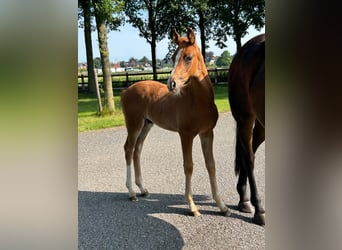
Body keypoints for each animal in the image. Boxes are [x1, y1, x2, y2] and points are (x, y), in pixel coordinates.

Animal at [120, 27, 230, 217]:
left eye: (188, 57)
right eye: (172, 57)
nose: (171, 84)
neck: (198, 101)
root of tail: (126, 90)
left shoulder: (207, 133)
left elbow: (211, 165)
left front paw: (222, 206)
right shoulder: (186, 135)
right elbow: (189, 166)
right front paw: (192, 206)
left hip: (146, 124)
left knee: (137, 150)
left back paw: (142, 189)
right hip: (134, 124)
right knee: (128, 149)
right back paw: (132, 192)